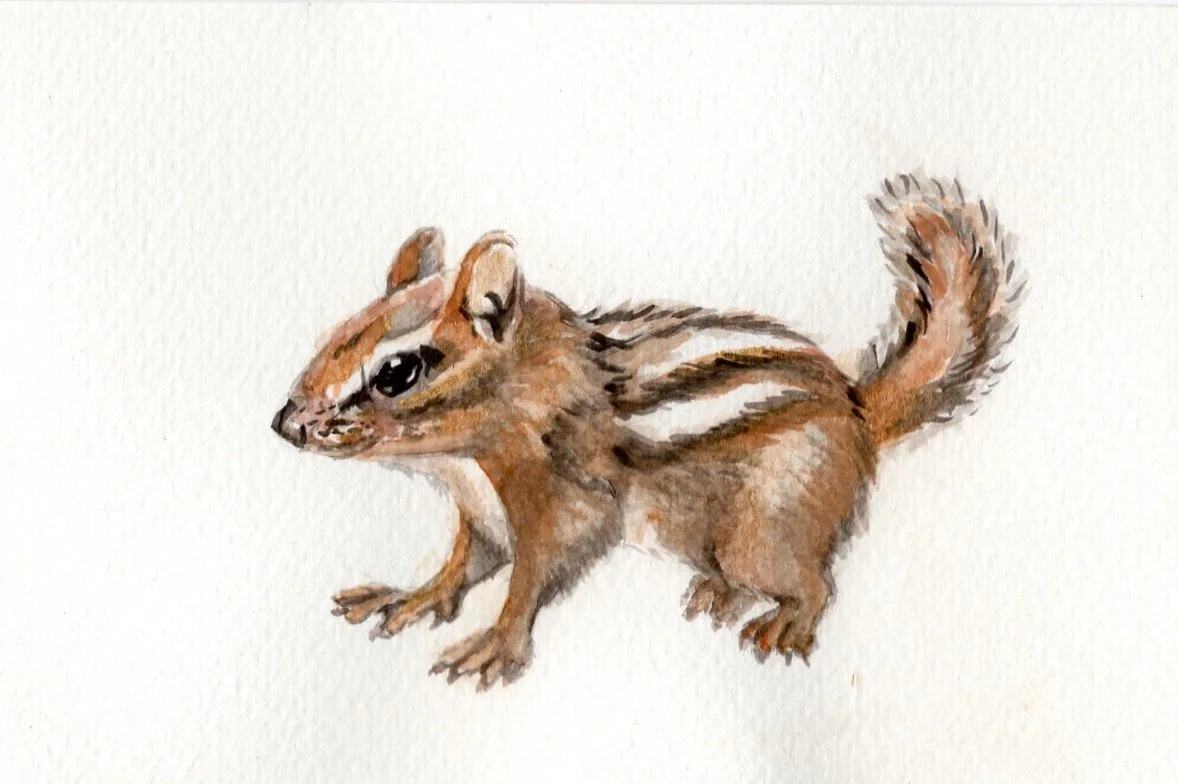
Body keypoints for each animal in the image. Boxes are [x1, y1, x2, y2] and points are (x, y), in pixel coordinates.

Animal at [272, 173, 1024, 690]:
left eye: (398, 370)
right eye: (338, 334)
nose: (284, 424)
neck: (465, 458)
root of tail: (859, 411)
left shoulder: (564, 501)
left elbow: (534, 575)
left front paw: (496, 643)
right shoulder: (481, 514)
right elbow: (463, 563)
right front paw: (410, 596)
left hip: (765, 527)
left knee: (814, 583)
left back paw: (786, 621)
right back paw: (718, 594)